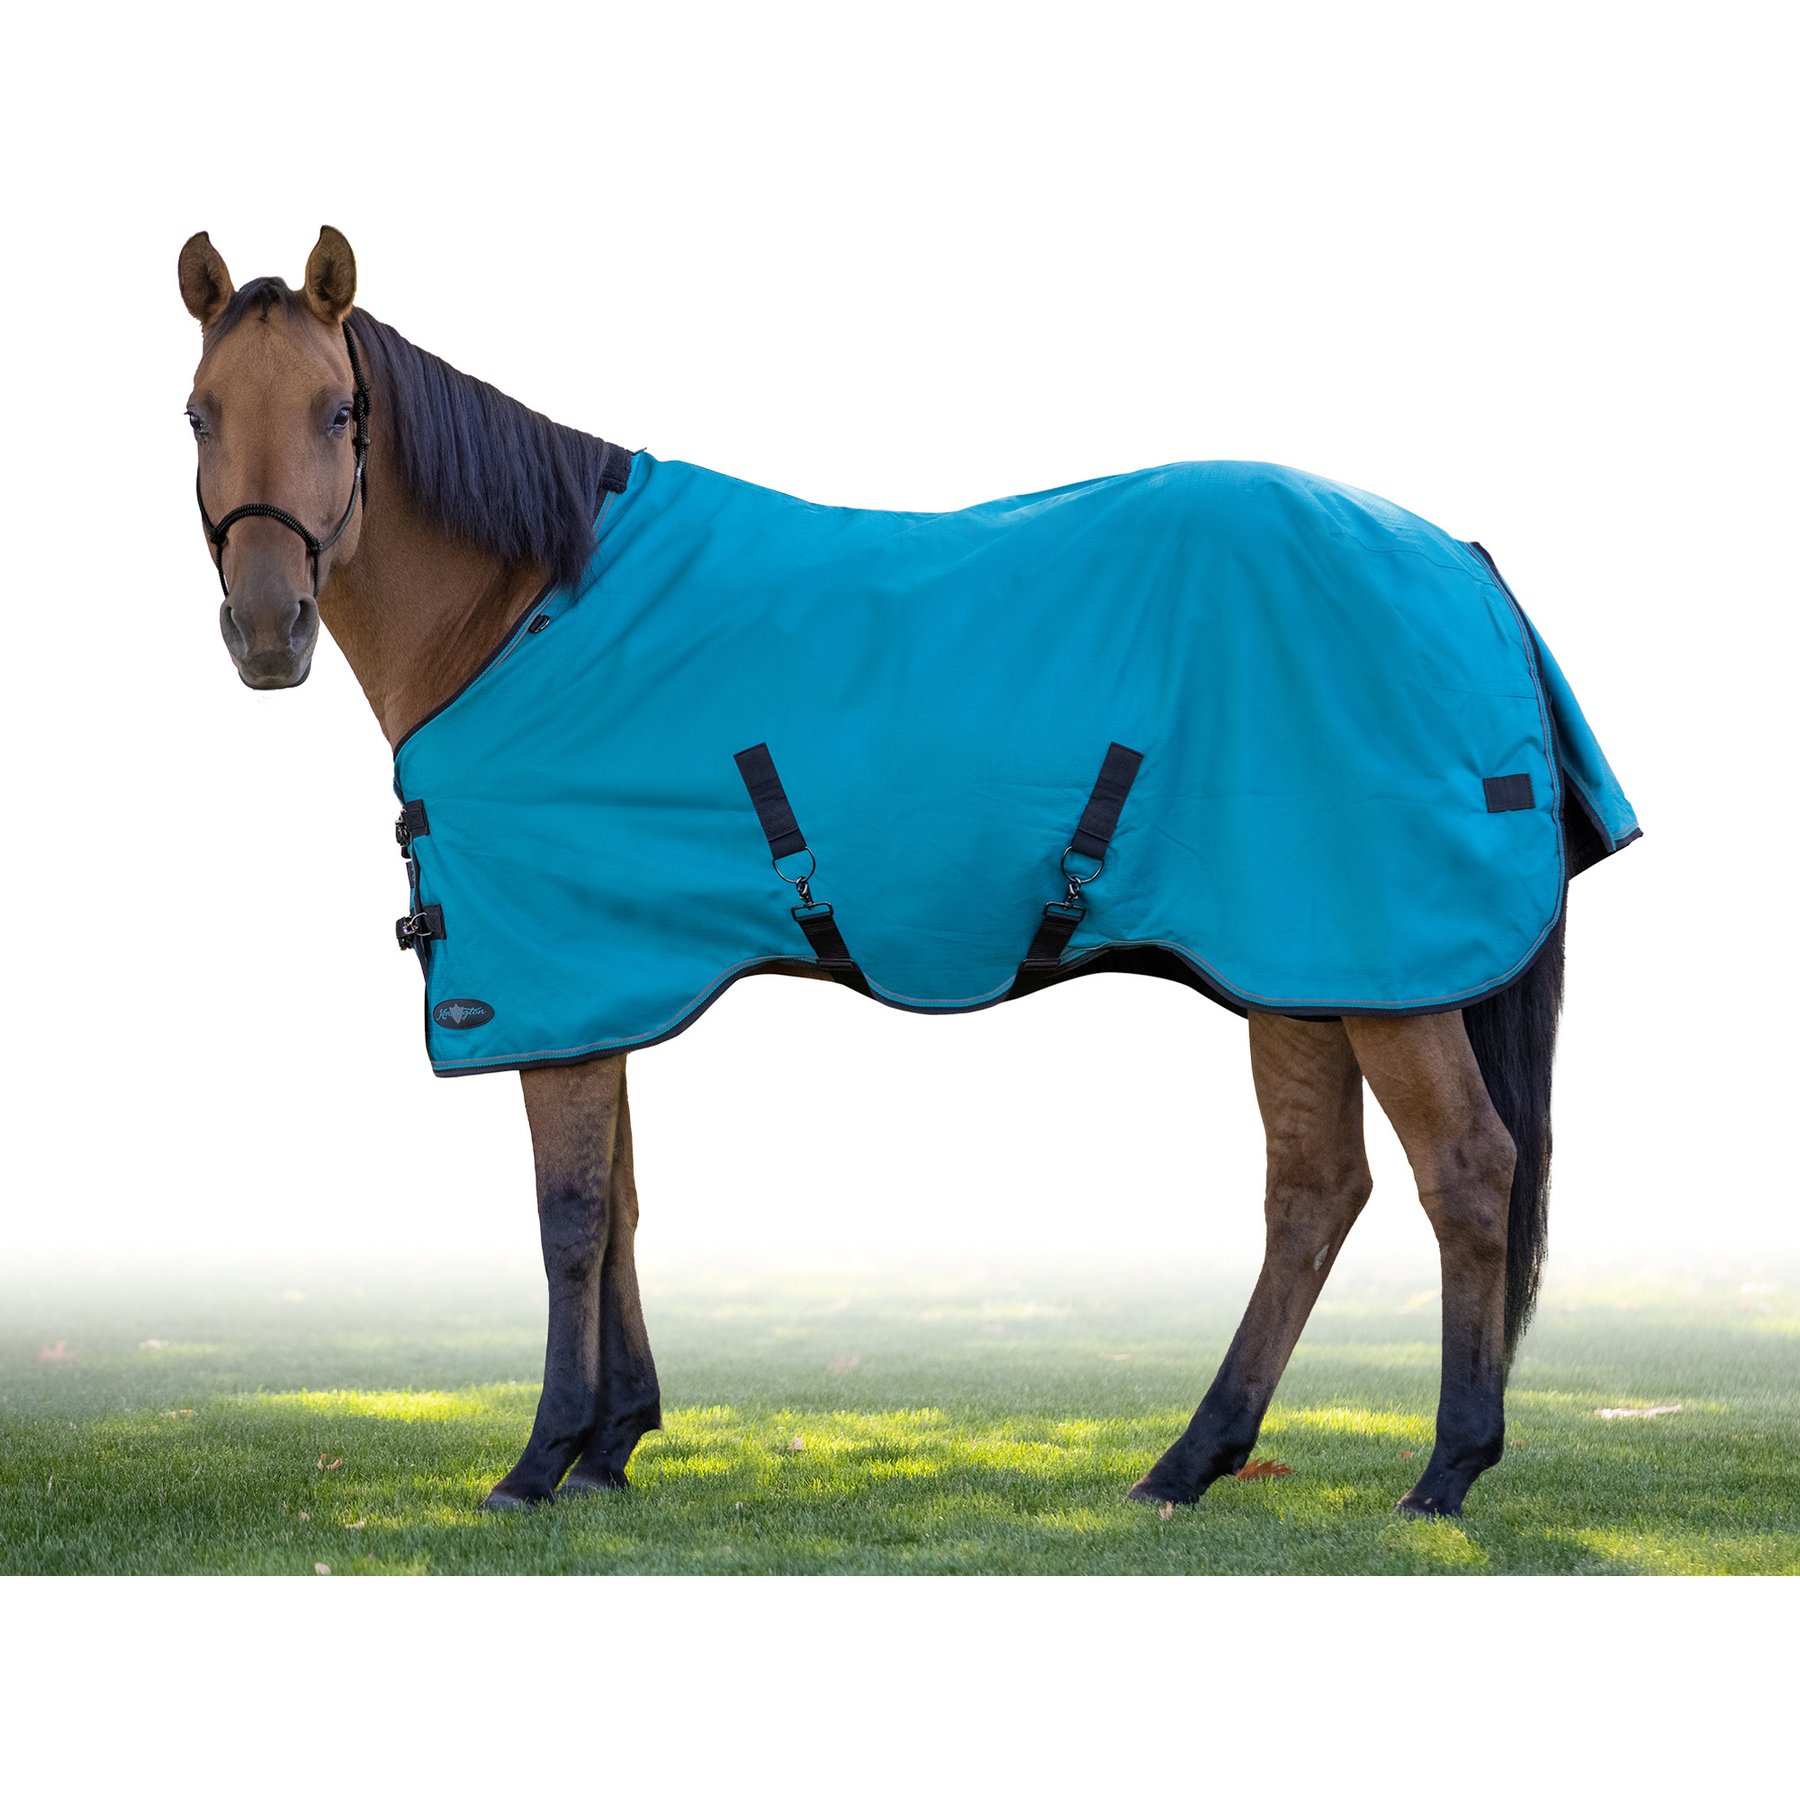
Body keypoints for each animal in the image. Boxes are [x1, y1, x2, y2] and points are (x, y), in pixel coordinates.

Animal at [177, 225, 1622, 1519]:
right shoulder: (609, 980)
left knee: (1466, 1173)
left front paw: (541, 1462)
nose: (267, 630)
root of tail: (1463, 565)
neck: (523, 612)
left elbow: (571, 1215)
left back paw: (1445, 1473)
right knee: (1314, 1193)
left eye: (339, 410)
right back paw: (1189, 1464)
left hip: (1381, 969)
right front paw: (612, 1445)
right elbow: (627, 1204)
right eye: (198, 414)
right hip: (1303, 969)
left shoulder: (556, 976)